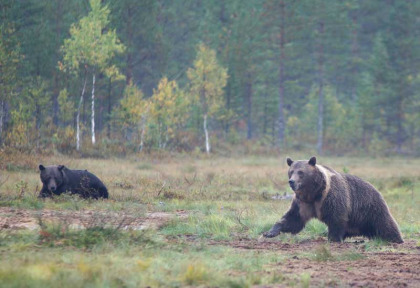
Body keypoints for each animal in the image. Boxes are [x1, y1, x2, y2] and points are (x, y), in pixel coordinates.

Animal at [262, 158, 404, 243]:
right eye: (291, 171)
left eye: (301, 172)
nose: (291, 181)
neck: (314, 193)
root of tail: (375, 187)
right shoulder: (303, 203)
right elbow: (293, 219)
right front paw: (270, 232)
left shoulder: (331, 197)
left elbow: (336, 218)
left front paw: (333, 238)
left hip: (370, 207)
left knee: (385, 224)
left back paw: (396, 239)